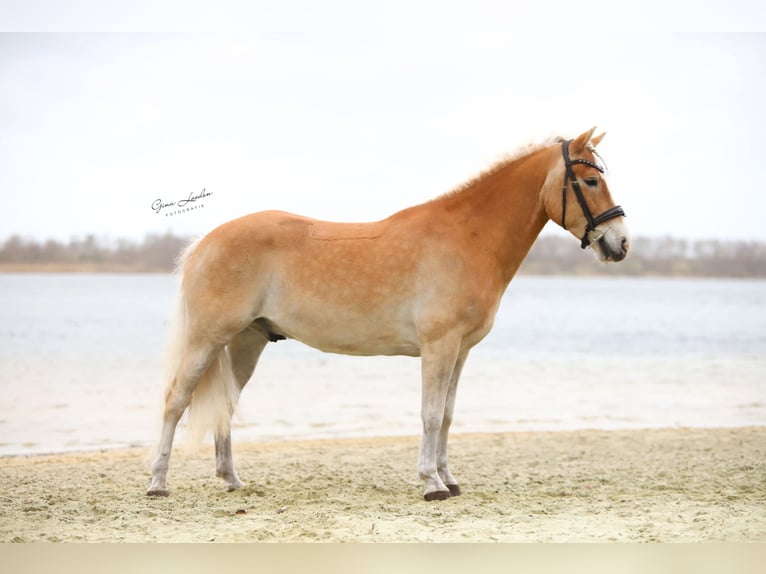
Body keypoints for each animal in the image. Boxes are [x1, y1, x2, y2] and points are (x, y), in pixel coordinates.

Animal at [147, 127, 629, 501]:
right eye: (589, 180)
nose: (620, 244)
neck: (467, 237)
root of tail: (205, 242)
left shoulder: (460, 351)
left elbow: (447, 414)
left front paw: (449, 479)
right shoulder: (439, 346)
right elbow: (430, 414)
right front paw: (432, 483)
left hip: (246, 341)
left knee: (225, 404)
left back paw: (231, 479)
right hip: (207, 339)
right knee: (175, 399)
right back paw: (158, 483)